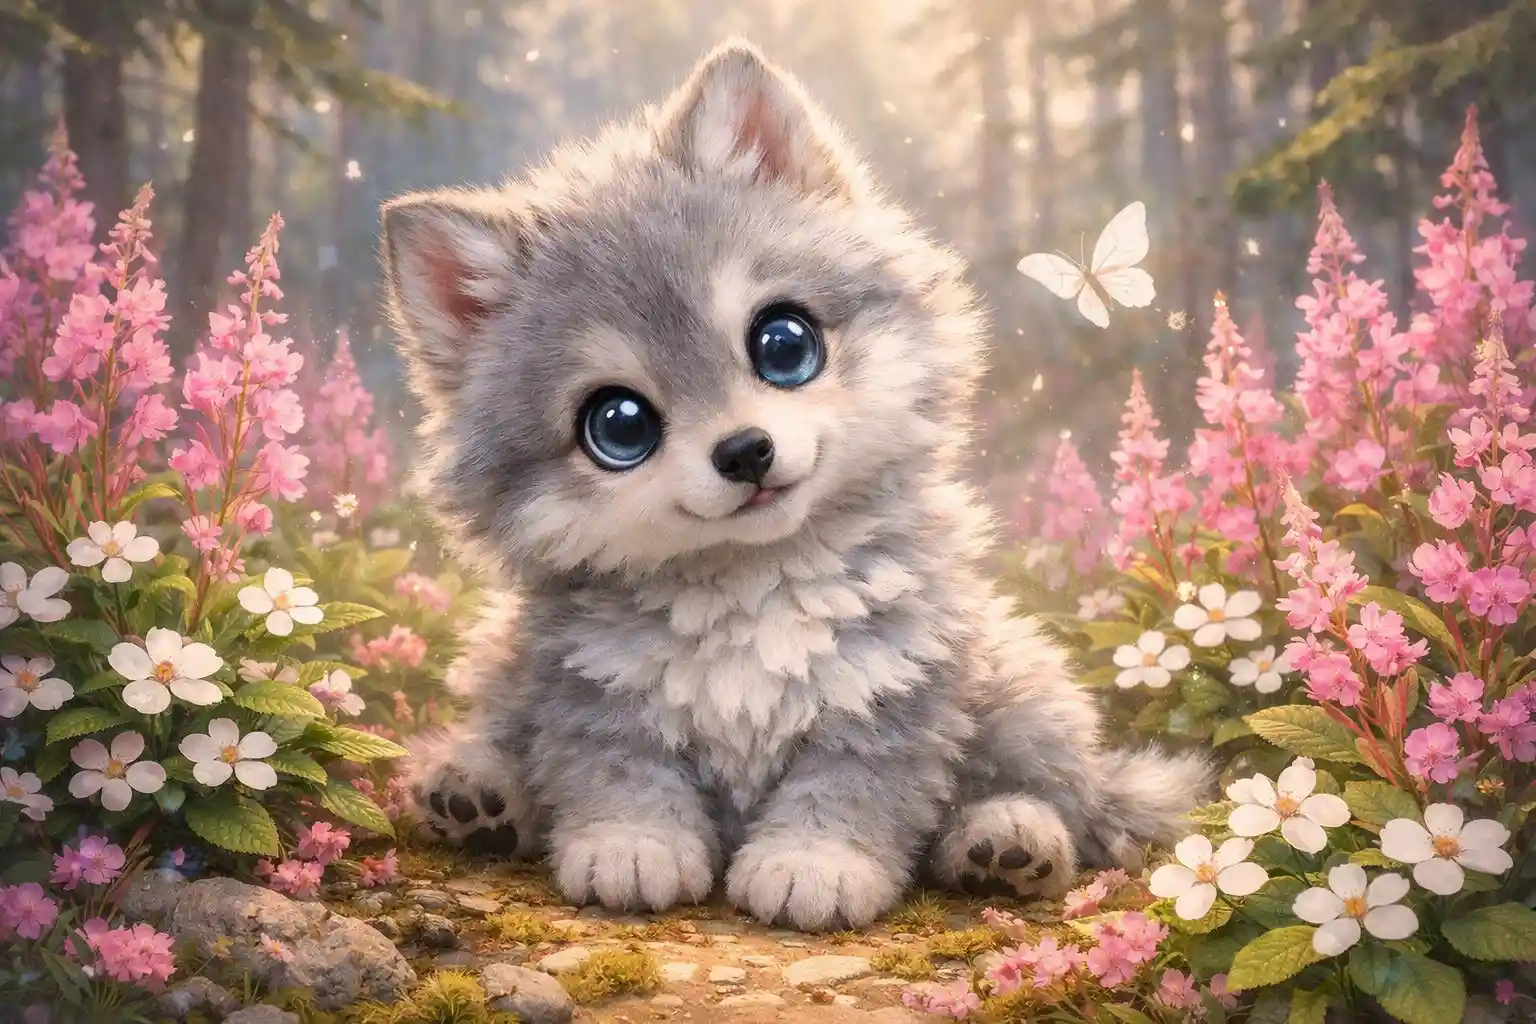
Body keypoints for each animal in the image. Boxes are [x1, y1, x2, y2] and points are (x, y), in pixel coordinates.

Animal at [379, 38, 1210, 932]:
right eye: (620, 426)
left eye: (784, 343)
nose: (745, 450)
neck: (750, 588)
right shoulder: (590, 689)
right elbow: (619, 771)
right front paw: (631, 845)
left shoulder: (895, 690)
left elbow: (851, 789)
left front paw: (814, 863)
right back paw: (476, 795)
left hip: (1024, 692)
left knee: (1061, 794)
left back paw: (1007, 842)